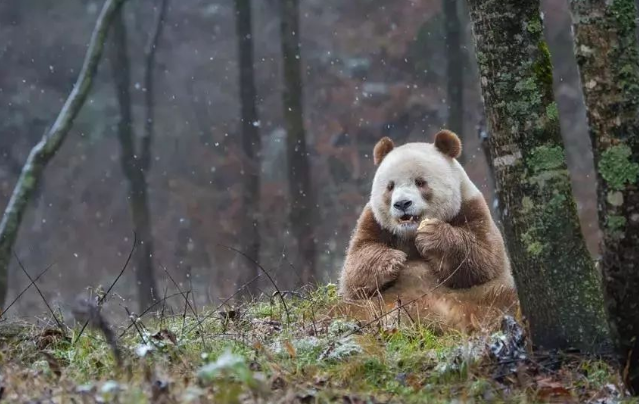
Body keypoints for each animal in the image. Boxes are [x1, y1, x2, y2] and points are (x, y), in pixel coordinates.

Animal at [338, 131, 516, 332]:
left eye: (420, 182)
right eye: (390, 186)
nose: (402, 204)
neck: (409, 234)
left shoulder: (471, 208)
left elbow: (483, 257)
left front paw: (432, 236)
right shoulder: (374, 222)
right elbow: (354, 270)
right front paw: (392, 260)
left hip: (482, 298)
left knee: (504, 299)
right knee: (345, 309)